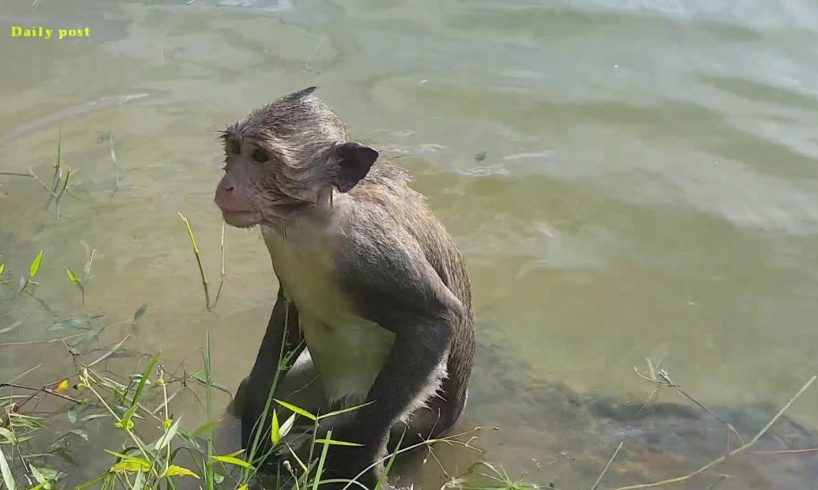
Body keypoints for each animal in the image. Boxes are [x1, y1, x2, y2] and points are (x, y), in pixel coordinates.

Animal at [214, 86, 474, 488]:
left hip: (419, 419)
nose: (227, 185)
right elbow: (287, 312)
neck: (311, 218)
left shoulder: (371, 247)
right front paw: (258, 417)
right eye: (235, 148)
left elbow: (435, 319)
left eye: (260, 156)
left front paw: (359, 451)